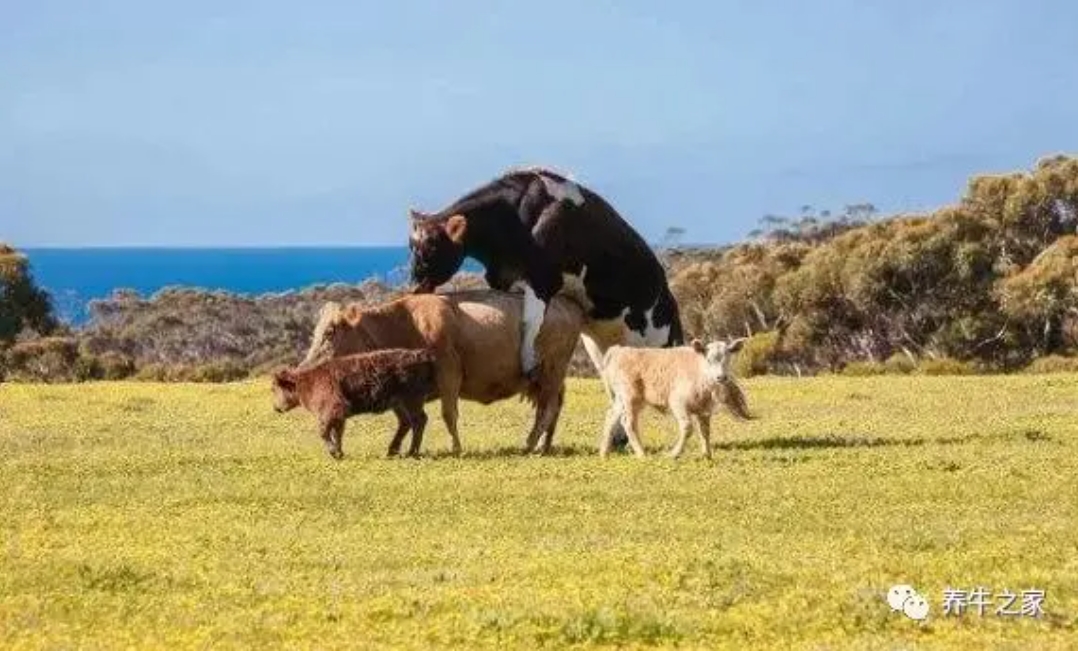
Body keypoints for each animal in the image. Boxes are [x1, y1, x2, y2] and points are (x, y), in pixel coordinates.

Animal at [303, 293, 586, 454]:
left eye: (330, 332)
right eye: (314, 332)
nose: (306, 365)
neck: (404, 324)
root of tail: (568, 306)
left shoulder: (448, 371)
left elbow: (448, 414)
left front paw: (455, 448)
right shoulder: (401, 392)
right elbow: (406, 419)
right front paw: (395, 448)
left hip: (552, 370)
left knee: (548, 409)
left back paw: (530, 444)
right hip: (547, 378)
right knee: (552, 408)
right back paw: (544, 445)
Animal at [407, 167, 685, 381]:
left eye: (429, 248)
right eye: (411, 247)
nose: (414, 286)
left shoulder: (543, 280)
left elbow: (530, 321)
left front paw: (528, 363)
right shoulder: (504, 279)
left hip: (655, 342)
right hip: (601, 346)